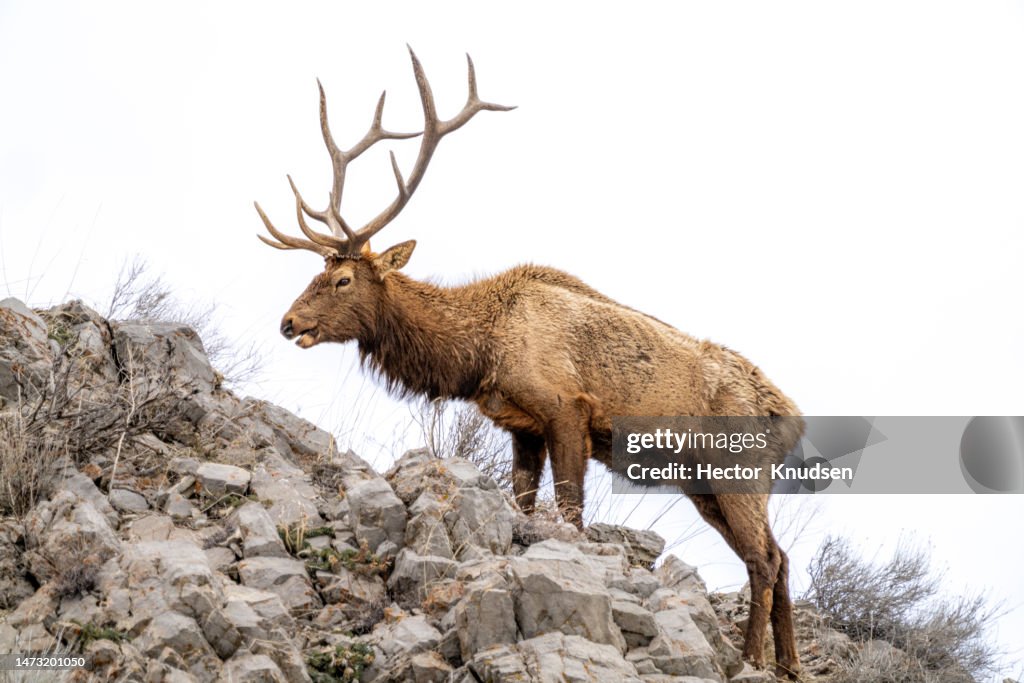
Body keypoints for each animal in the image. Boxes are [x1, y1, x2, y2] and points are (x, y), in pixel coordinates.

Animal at [255, 48, 805, 679]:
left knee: (764, 560)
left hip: (738, 470)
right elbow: (524, 504)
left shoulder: (568, 409)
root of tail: (793, 416)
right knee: (782, 555)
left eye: (342, 279)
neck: (479, 353)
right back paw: (790, 664)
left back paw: (752, 658)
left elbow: (570, 513)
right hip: (704, 484)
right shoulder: (523, 427)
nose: (288, 322)